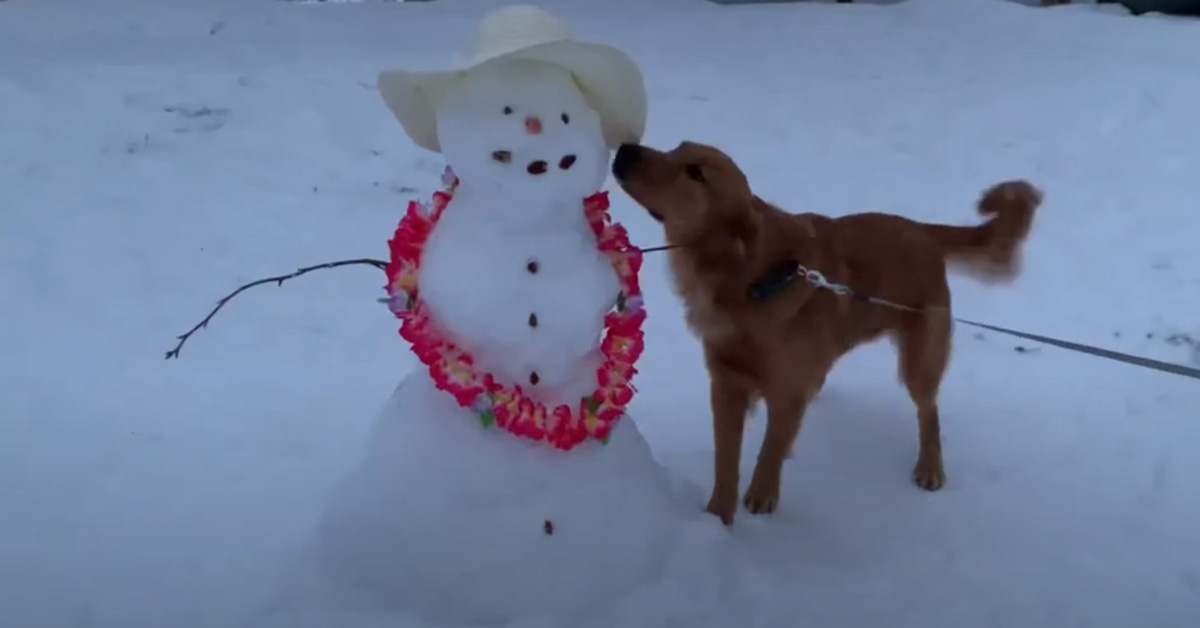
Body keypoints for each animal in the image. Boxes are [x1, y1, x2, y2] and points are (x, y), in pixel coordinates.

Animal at [609, 141, 1041, 525]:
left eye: (695, 173)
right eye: (678, 148)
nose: (627, 149)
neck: (754, 279)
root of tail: (921, 230)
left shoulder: (785, 392)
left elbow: (770, 450)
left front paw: (761, 497)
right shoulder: (726, 384)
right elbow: (726, 460)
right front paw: (718, 519)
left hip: (921, 357)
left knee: (928, 410)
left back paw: (930, 465)